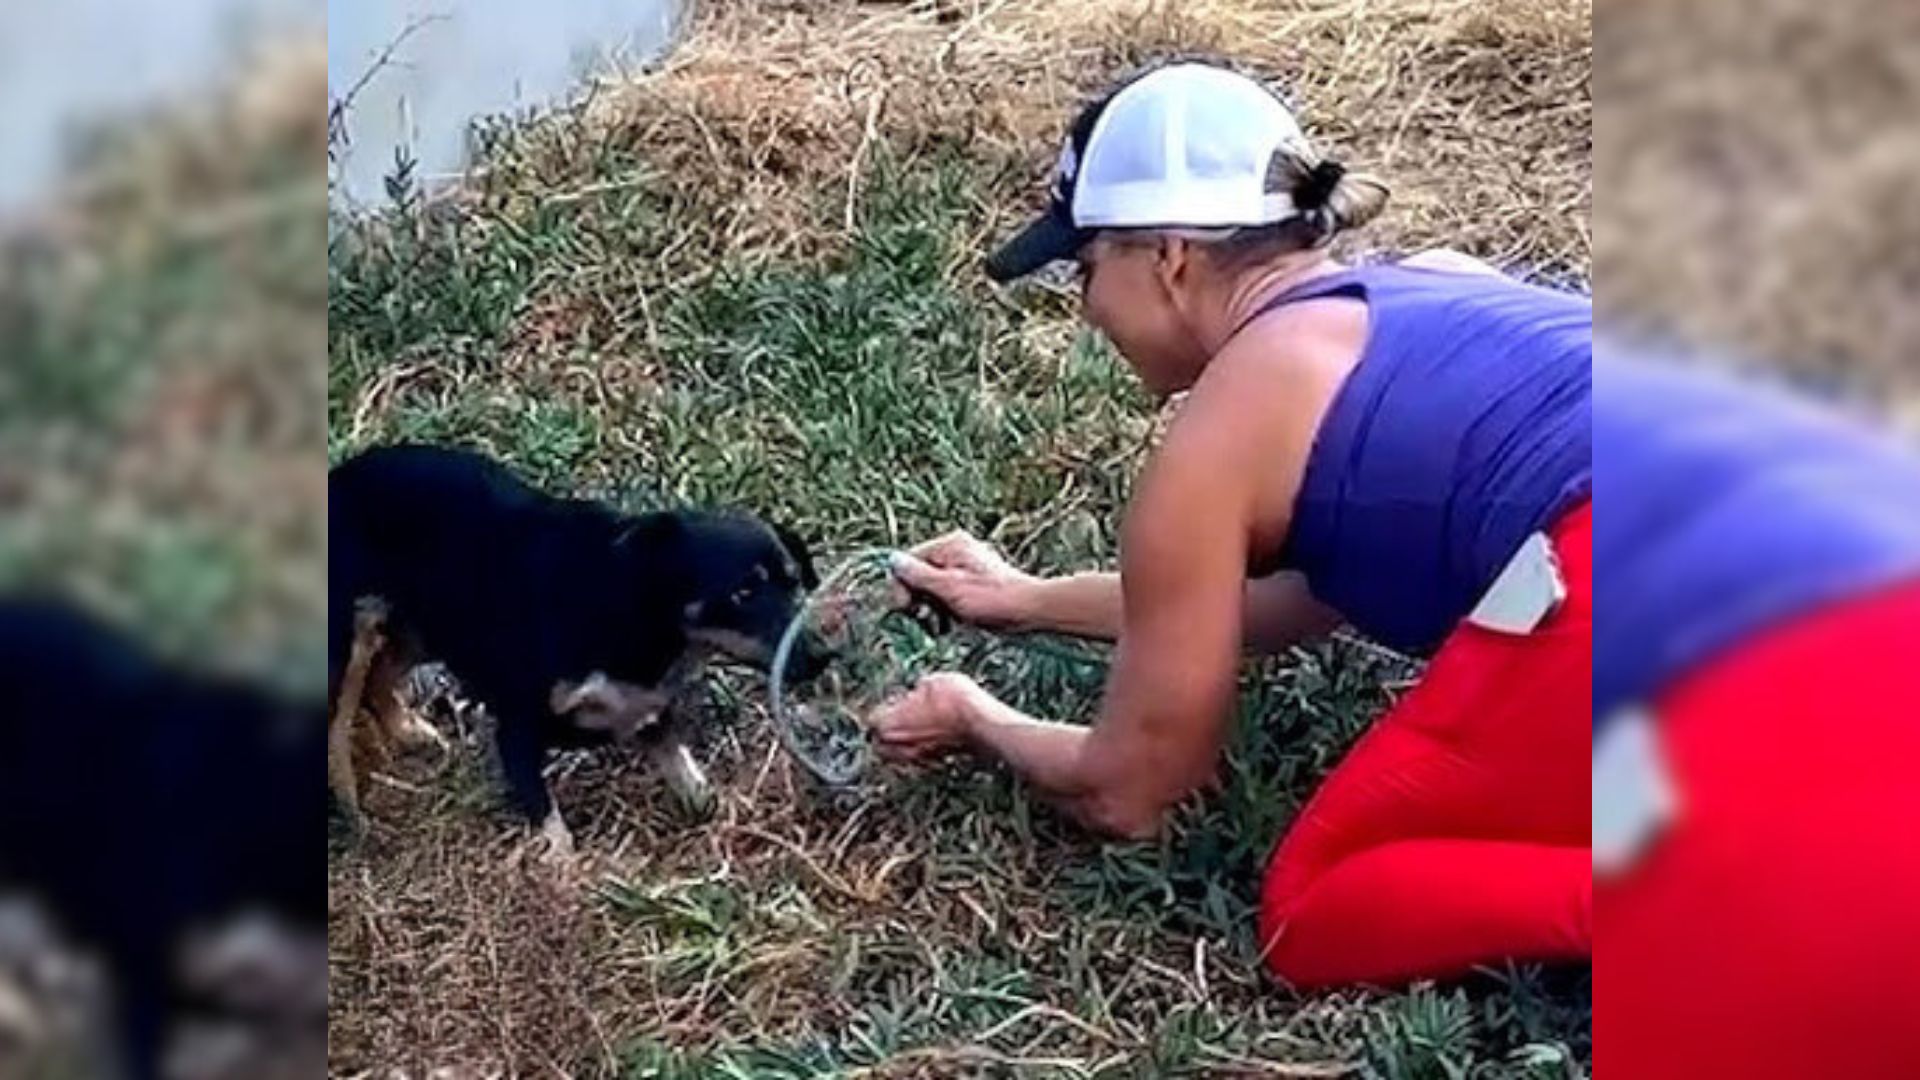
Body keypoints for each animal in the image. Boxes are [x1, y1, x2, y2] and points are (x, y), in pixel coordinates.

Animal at [332, 441, 825, 845]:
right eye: (743, 592)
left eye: (795, 581)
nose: (822, 657)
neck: (629, 602)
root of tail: (343, 473)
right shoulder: (517, 725)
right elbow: (551, 825)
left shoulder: (647, 706)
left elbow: (684, 771)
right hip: (349, 647)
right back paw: (354, 819)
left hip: (424, 629)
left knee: (380, 677)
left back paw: (407, 730)